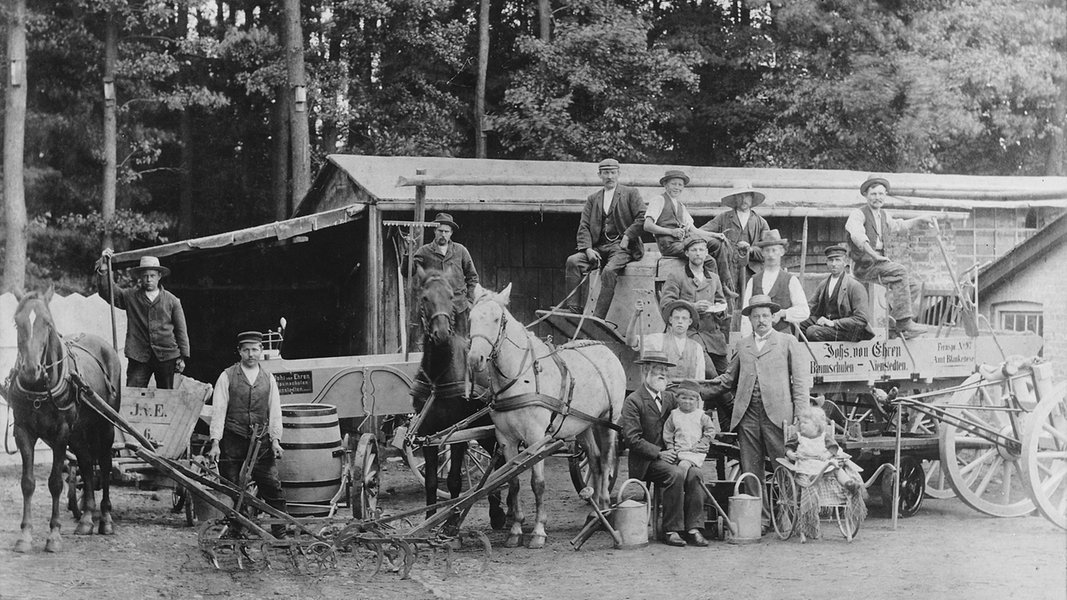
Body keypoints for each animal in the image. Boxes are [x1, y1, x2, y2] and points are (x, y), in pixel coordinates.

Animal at [6, 288, 122, 550]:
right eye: (17, 322)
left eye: (47, 323)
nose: (30, 370)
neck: (39, 388)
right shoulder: (23, 431)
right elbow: (28, 482)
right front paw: (25, 535)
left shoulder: (61, 433)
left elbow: (55, 483)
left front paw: (54, 535)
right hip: (79, 433)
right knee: (87, 465)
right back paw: (86, 519)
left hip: (106, 427)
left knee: (105, 465)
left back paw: (105, 519)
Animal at [409, 269, 505, 529]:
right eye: (424, 298)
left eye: (451, 296)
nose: (441, 334)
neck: (437, 378)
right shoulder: (427, 434)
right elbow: (431, 481)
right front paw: (429, 519)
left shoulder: (458, 433)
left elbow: (453, 479)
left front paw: (451, 521)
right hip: (483, 430)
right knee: (497, 461)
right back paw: (498, 513)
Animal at [467, 279, 623, 546]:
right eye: (471, 317)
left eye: (497, 319)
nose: (475, 359)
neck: (520, 377)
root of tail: (606, 349)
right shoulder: (506, 439)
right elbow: (514, 482)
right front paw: (515, 530)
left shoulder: (536, 438)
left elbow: (537, 483)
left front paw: (539, 530)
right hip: (584, 424)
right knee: (594, 460)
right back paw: (593, 512)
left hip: (608, 421)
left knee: (606, 461)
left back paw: (602, 508)